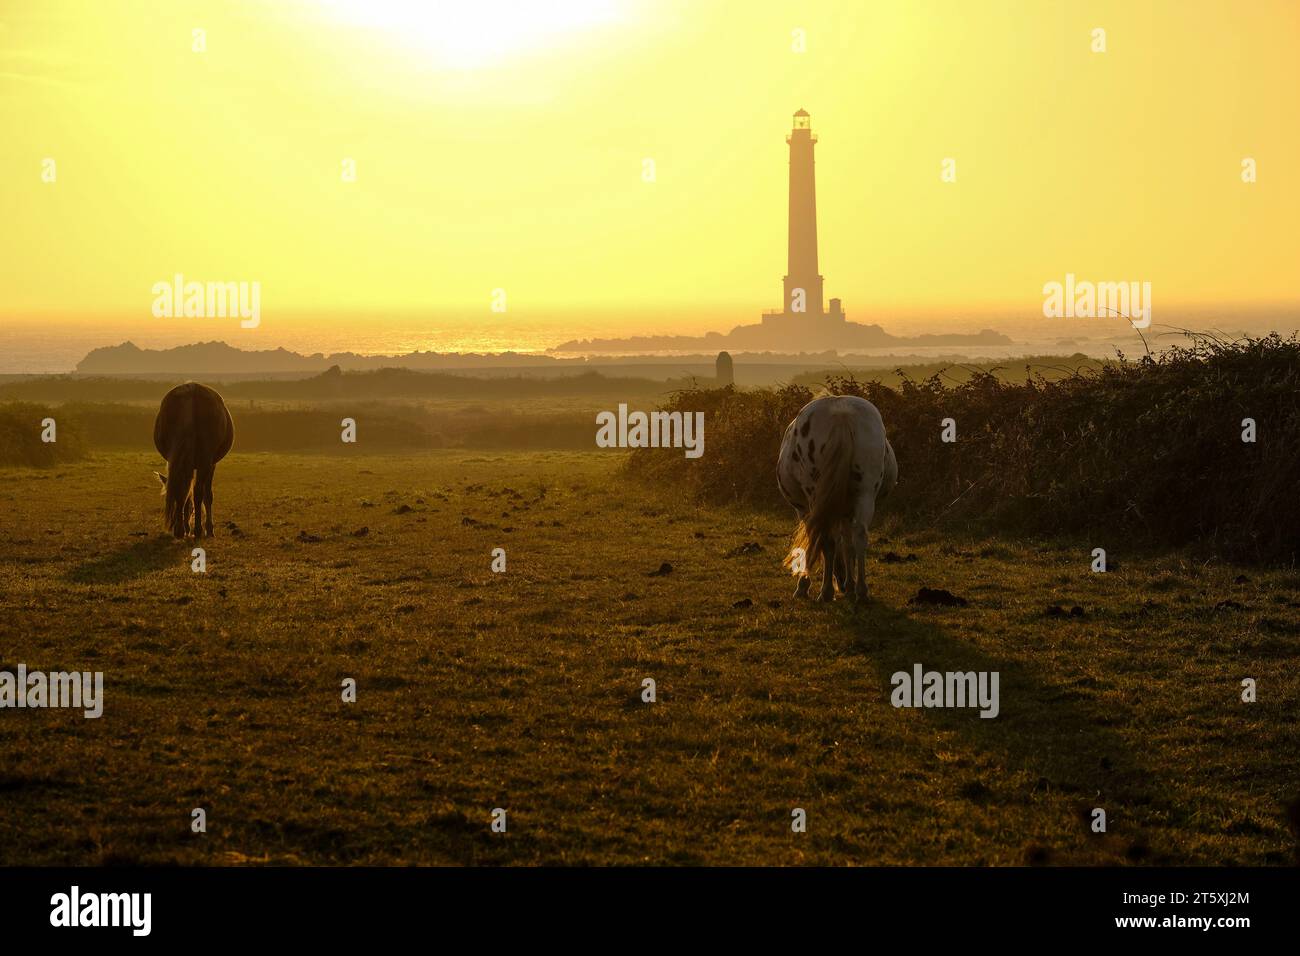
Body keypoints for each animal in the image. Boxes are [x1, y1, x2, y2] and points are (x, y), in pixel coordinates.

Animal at [152, 382, 233, 538]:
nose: (173, 525)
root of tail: (191, 392)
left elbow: (185, 495)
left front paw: (185, 527)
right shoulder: (211, 464)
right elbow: (206, 495)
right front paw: (208, 528)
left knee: (182, 490)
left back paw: (182, 530)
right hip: (204, 462)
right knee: (198, 492)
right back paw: (198, 530)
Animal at [774, 400, 899, 600]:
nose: (840, 583)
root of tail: (842, 414)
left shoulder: (805, 510)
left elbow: (816, 541)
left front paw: (803, 585)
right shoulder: (846, 512)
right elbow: (847, 544)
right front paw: (850, 584)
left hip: (815, 496)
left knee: (827, 539)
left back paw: (826, 592)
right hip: (865, 494)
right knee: (860, 535)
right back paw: (861, 591)